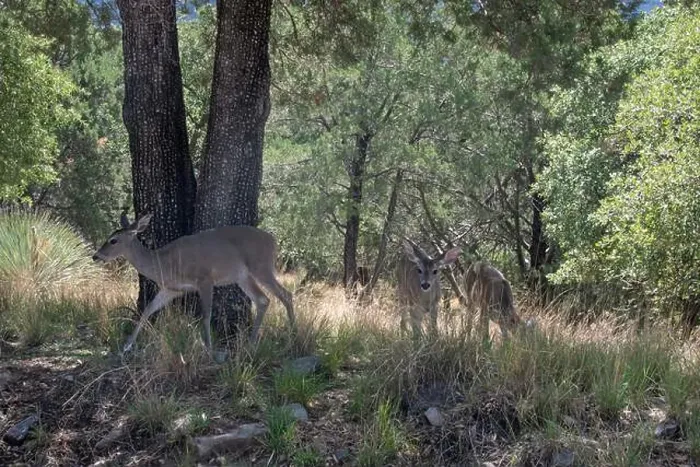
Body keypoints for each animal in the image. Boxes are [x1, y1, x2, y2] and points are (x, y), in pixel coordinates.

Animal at [92, 213, 295, 356]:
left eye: (113, 240)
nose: (95, 256)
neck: (164, 263)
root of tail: (273, 241)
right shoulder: (171, 289)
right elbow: (148, 309)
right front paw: (126, 345)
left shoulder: (205, 279)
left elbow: (206, 314)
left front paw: (208, 347)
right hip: (242, 277)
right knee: (263, 300)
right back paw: (251, 343)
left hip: (261, 266)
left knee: (285, 294)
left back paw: (292, 336)